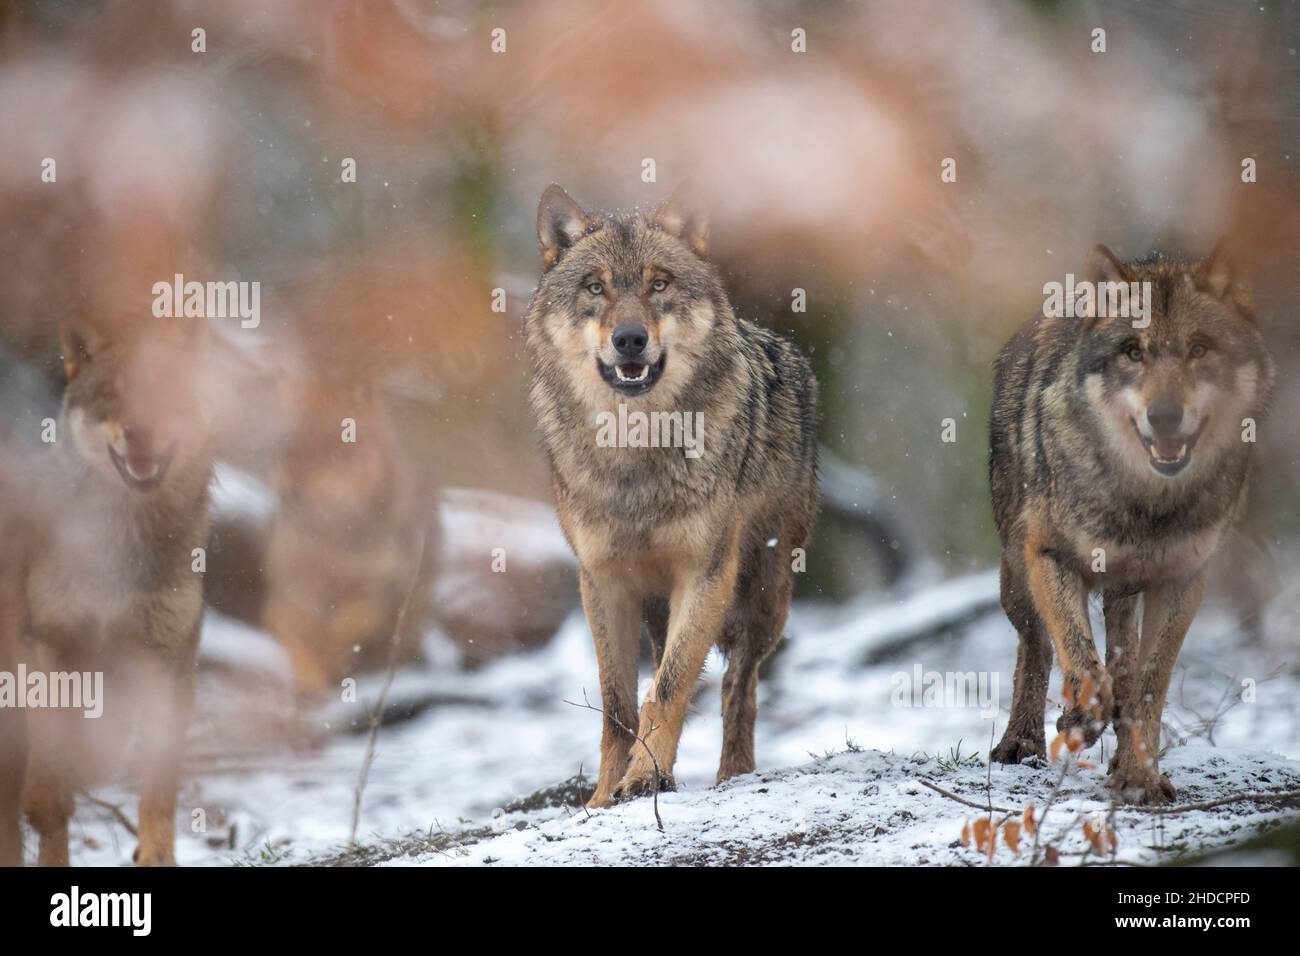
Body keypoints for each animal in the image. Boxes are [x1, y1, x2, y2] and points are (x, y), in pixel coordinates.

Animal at [525, 180, 811, 806]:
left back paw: (734, 776)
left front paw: (644, 779)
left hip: (765, 596)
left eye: (659, 284)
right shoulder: (602, 582)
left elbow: (670, 686)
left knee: (738, 688)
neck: (636, 456)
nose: (630, 339)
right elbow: (618, 705)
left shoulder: (705, 573)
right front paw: (603, 797)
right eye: (596, 287)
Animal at [987, 243, 1274, 806]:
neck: (1144, 504)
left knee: (1121, 664)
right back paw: (1022, 742)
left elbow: (1147, 685)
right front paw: (1080, 719)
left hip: (1123, 593)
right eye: (1133, 352)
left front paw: (1139, 777)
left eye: (1198, 349)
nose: (1165, 416)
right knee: (1036, 647)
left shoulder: (1183, 578)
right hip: (1017, 578)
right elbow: (1079, 656)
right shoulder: (1051, 557)